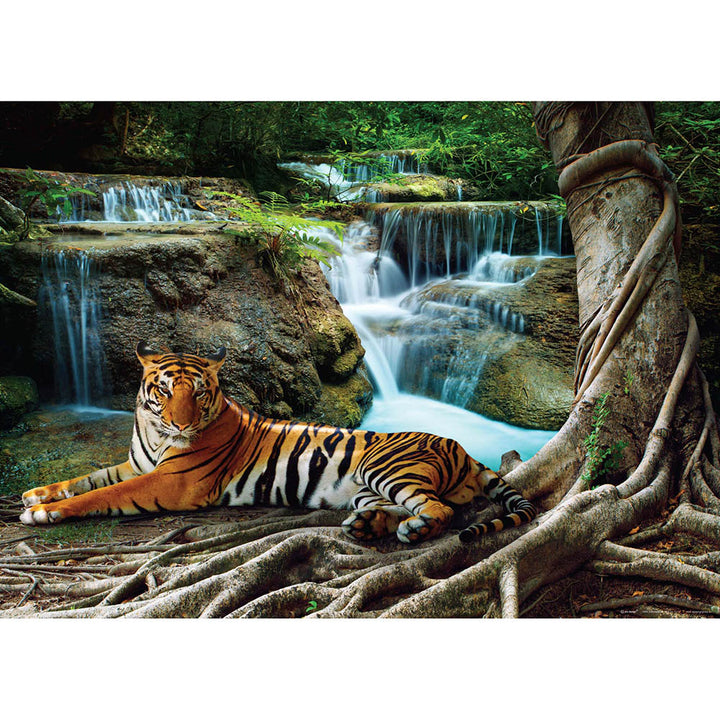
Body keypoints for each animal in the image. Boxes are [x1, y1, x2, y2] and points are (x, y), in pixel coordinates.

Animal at [20, 342, 536, 544]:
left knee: (440, 510)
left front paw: (45, 512)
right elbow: (89, 478)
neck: (153, 431)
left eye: (199, 392)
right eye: (163, 391)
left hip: (386, 468)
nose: (182, 424)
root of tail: (463, 449)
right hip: (368, 487)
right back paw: (366, 526)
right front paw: (36, 494)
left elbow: (102, 494)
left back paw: (412, 529)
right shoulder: (138, 465)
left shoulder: (169, 483)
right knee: (401, 508)